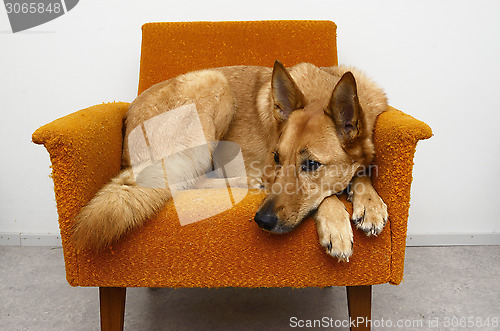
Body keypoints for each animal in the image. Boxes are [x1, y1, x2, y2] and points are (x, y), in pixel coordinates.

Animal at [73, 61, 386, 260]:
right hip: (214, 85)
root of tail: (128, 120)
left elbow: (361, 172)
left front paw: (370, 203)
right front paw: (336, 223)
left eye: (311, 165)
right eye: (277, 157)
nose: (262, 220)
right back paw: (247, 182)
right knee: (187, 182)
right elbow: (328, 194)